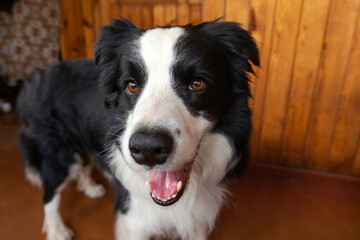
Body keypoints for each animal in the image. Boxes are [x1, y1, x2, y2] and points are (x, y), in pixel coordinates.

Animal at [17, 19, 258, 239]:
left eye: (197, 84)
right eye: (131, 85)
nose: (148, 149)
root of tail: (34, 78)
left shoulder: (196, 220)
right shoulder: (133, 219)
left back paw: (91, 187)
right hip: (55, 153)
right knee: (50, 195)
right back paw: (57, 230)